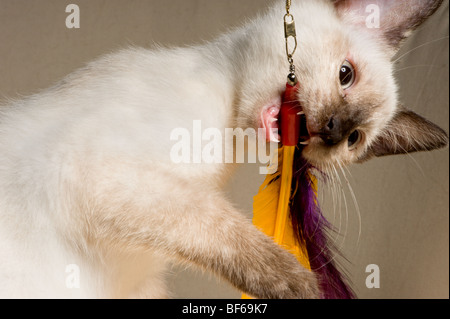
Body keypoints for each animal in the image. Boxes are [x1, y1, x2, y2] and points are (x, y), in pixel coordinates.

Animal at [0, 0, 448, 300]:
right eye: (345, 74)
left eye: (354, 140)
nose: (334, 130)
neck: (227, 136)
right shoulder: (97, 171)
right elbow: (220, 229)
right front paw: (304, 284)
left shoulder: (143, 282)